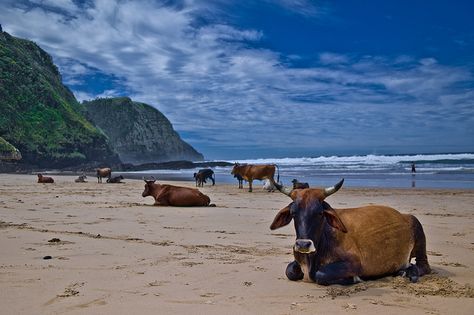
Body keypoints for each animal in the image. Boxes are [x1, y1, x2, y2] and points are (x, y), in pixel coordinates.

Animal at [270, 180, 430, 286]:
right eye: (293, 213)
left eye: (320, 213)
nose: (303, 244)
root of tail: (403, 215)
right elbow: (290, 270)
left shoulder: (355, 263)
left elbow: (321, 274)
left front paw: (353, 278)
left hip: (418, 230)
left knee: (423, 266)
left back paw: (409, 271)